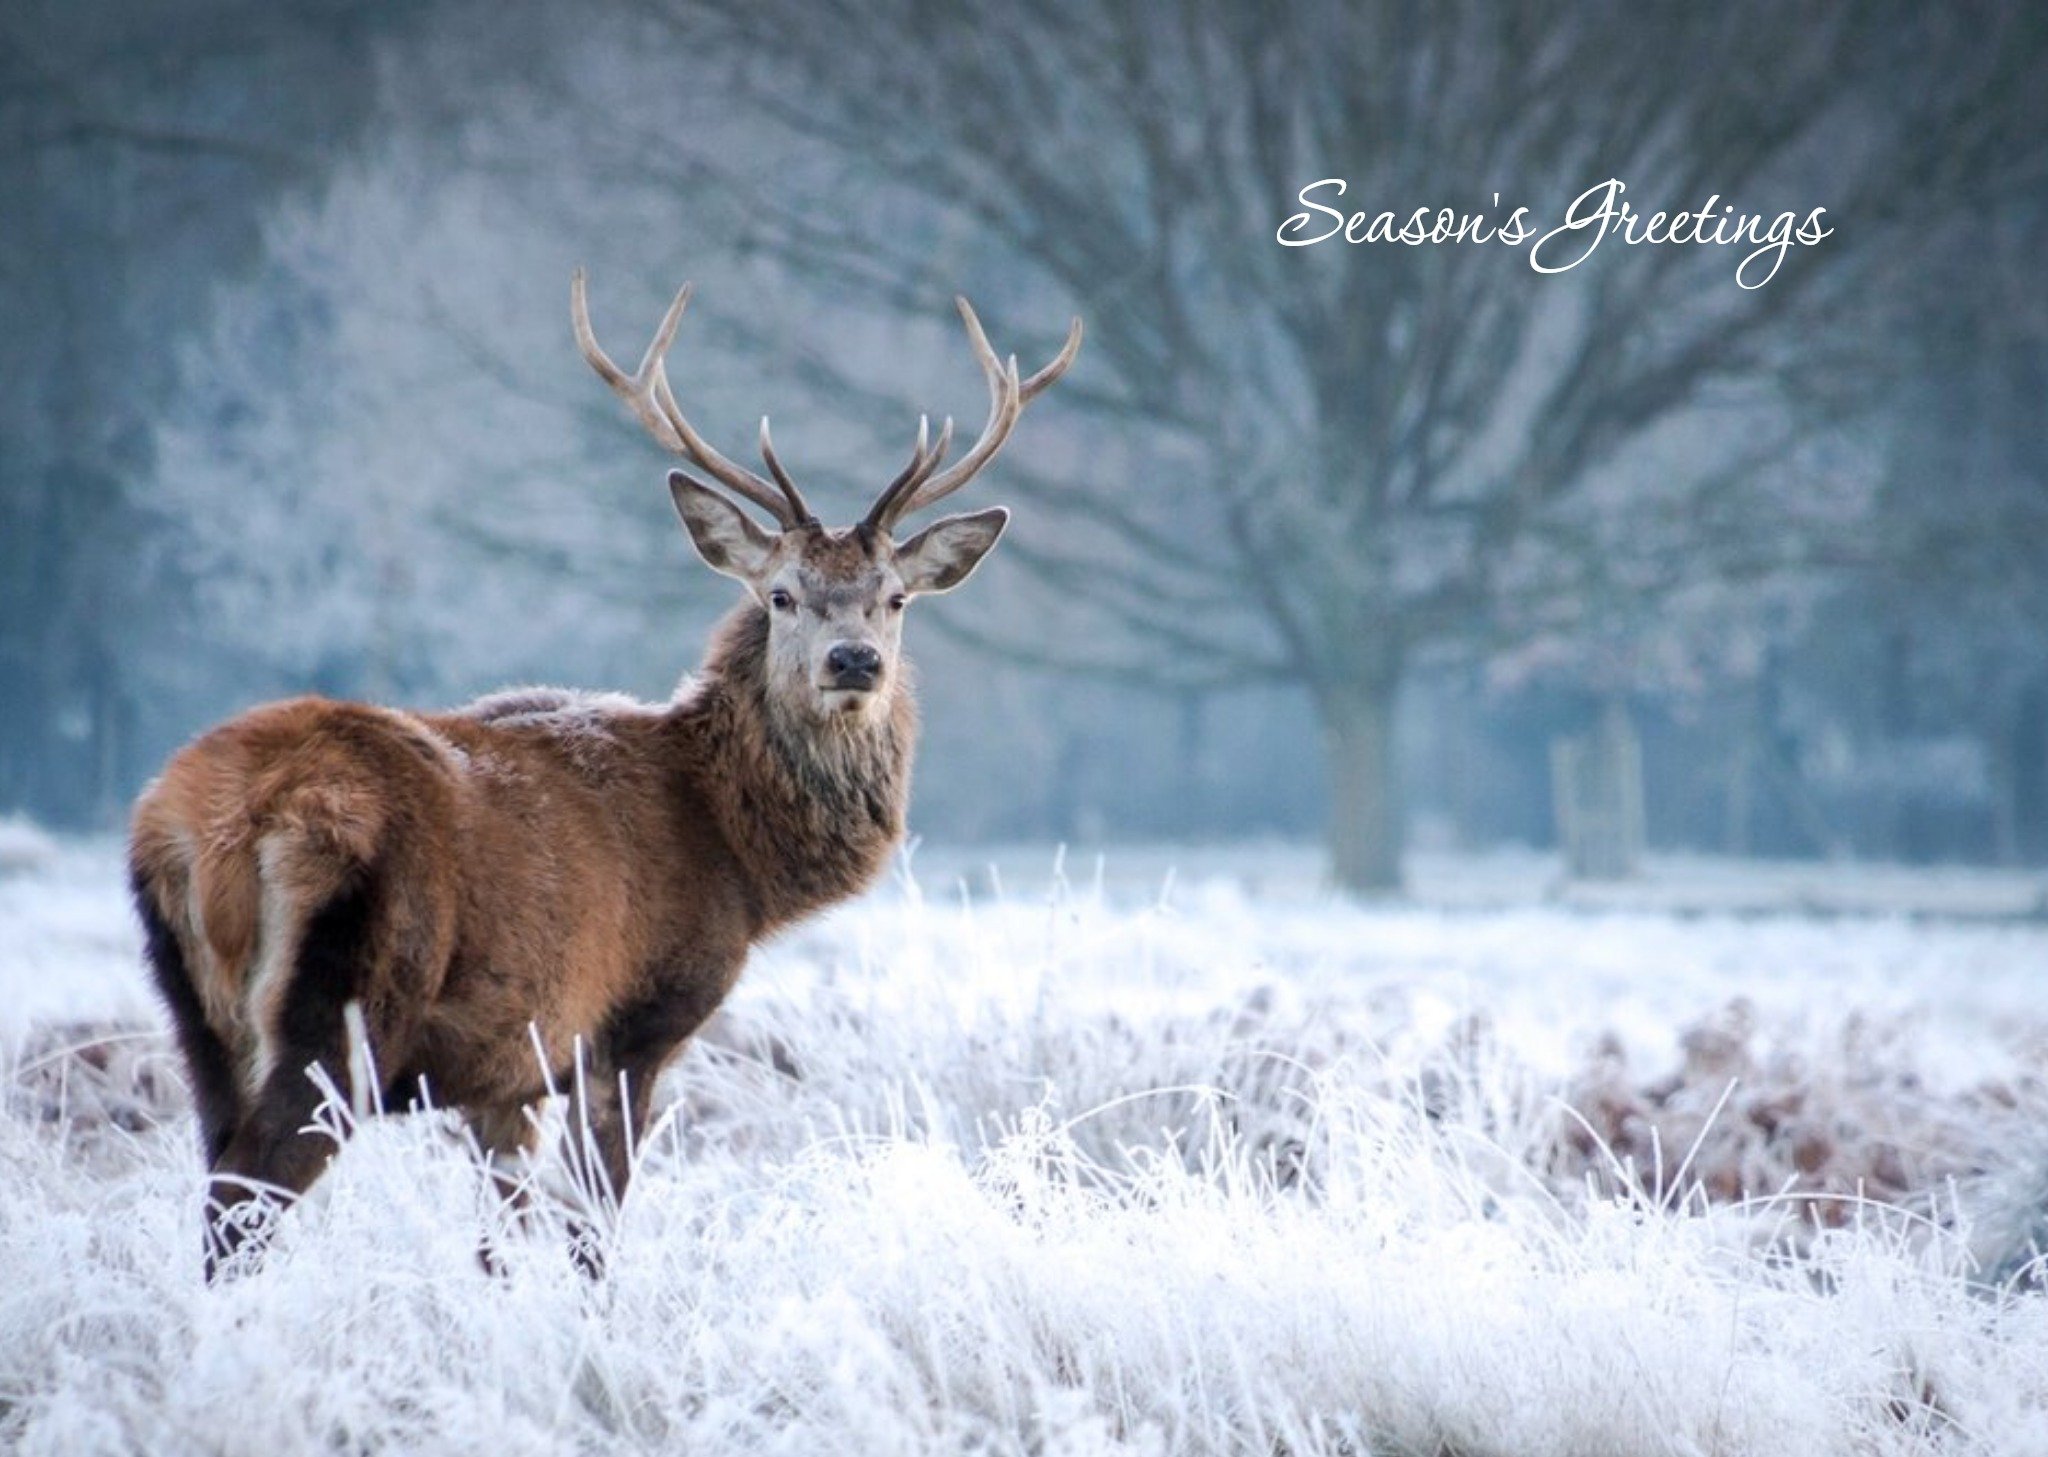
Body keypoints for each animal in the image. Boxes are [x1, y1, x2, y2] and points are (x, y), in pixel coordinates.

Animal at [128, 274, 1081, 1278]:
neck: (736, 856)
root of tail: (213, 826)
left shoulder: (505, 1068)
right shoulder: (629, 1026)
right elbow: (592, 1231)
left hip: (196, 1015)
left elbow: (498, 1240)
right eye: (781, 595)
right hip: (344, 1000)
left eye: (894, 598)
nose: (854, 660)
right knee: (241, 1204)